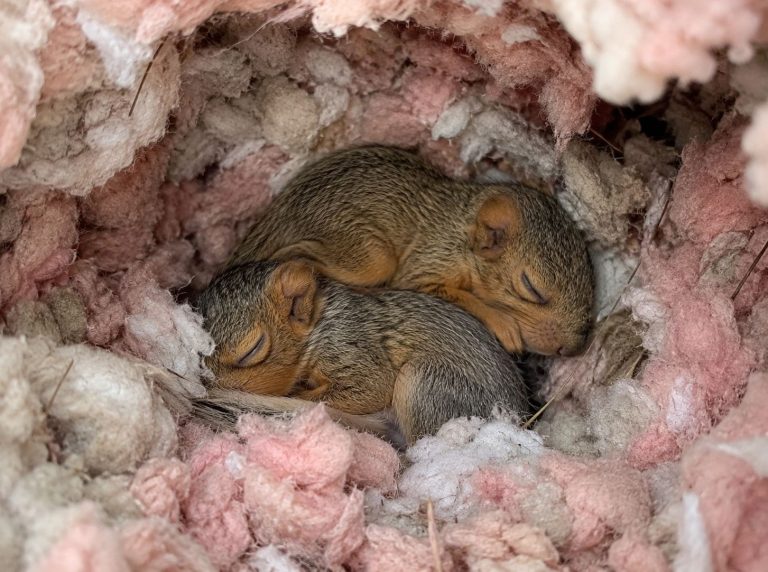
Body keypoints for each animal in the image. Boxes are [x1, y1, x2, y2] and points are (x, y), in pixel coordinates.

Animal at [194, 260, 528, 445]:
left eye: (252, 350)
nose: (209, 385)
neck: (320, 324)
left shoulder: (349, 345)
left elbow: (370, 388)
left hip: (425, 384)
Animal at [229, 145, 594, 357]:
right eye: (531, 289)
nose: (570, 349)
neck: (460, 231)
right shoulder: (427, 262)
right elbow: (459, 296)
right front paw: (503, 323)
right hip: (367, 255)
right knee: (299, 255)